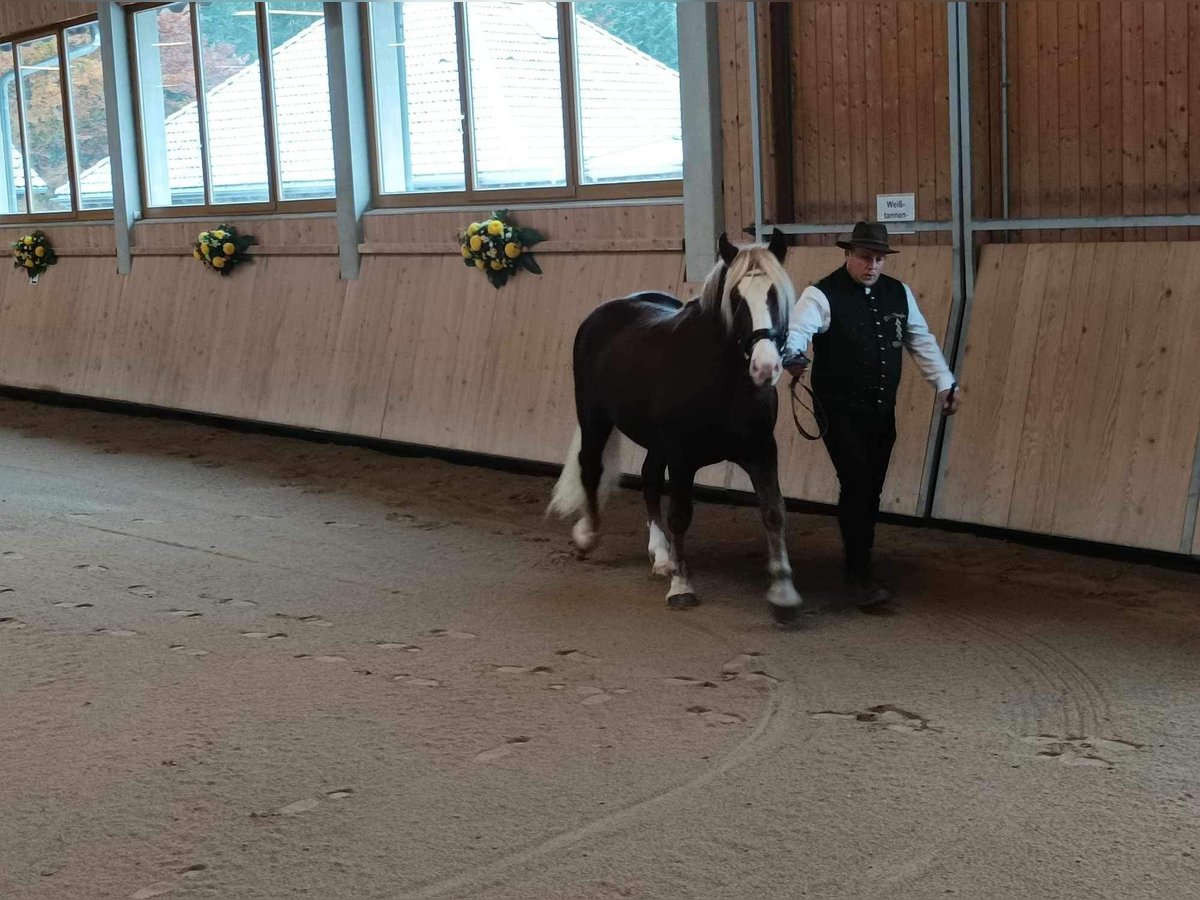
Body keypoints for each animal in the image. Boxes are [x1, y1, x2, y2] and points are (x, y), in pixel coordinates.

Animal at [549, 229, 801, 624]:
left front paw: (783, 595)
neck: (721, 380)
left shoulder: (761, 452)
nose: (765, 367)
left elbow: (774, 513)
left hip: (655, 442)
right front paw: (682, 587)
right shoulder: (683, 458)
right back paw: (588, 535)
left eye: (776, 294)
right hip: (593, 417)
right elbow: (681, 516)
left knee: (650, 479)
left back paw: (662, 556)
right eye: (736, 297)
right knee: (590, 466)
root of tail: (606, 311)